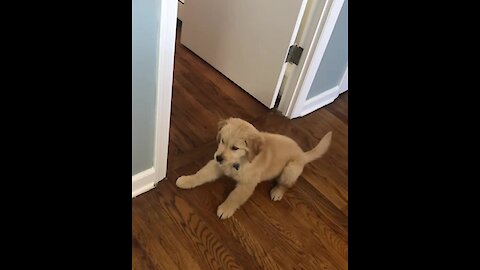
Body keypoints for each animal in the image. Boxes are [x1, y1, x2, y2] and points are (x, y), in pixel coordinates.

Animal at [177, 118, 334, 219]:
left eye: (235, 148)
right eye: (222, 140)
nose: (218, 157)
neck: (240, 161)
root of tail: (302, 154)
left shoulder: (247, 184)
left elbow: (235, 196)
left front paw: (226, 209)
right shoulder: (218, 166)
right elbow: (201, 174)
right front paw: (186, 180)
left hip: (290, 169)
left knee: (286, 184)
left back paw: (277, 191)